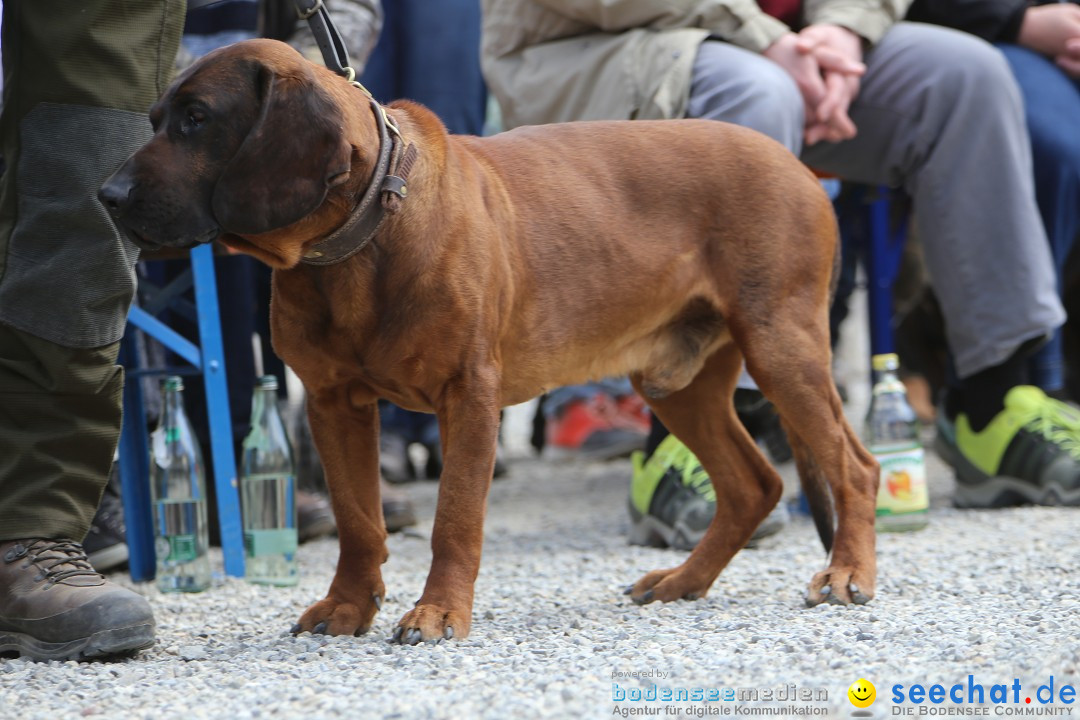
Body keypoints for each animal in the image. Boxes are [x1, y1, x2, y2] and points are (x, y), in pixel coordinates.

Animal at [99, 39, 876, 643]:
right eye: (157, 120)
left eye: (197, 120)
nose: (106, 194)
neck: (362, 237)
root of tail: (800, 167)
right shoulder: (331, 403)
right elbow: (357, 518)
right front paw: (349, 606)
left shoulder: (469, 397)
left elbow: (455, 515)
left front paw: (439, 613)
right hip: (676, 381)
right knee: (755, 485)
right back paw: (686, 579)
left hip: (781, 346)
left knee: (853, 466)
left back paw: (848, 571)